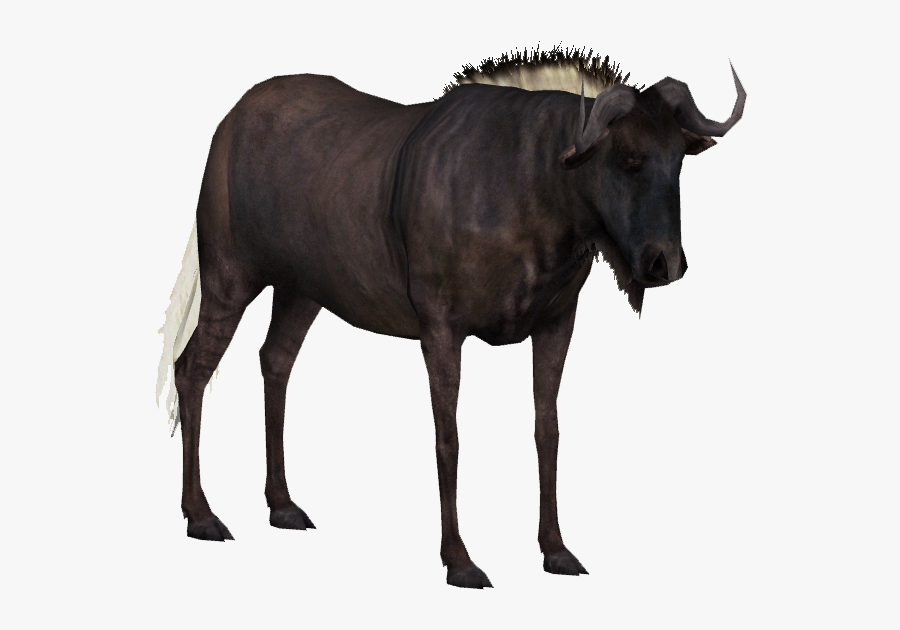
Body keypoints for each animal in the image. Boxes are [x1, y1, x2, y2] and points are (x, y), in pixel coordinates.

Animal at [157, 47, 745, 588]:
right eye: (627, 157)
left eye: (678, 159)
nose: (665, 263)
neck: (532, 186)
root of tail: (231, 121)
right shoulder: (441, 330)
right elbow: (449, 439)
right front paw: (459, 560)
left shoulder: (557, 324)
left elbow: (547, 431)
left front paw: (556, 551)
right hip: (230, 279)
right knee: (193, 368)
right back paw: (201, 515)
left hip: (301, 290)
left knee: (275, 361)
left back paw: (282, 505)